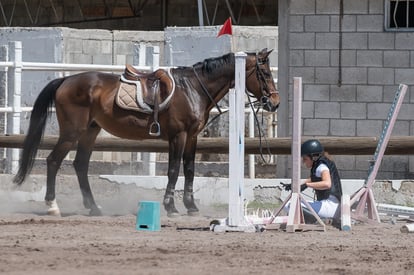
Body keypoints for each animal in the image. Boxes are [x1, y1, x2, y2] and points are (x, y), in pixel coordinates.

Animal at [12, 49, 280, 218]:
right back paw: (53, 206)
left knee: (80, 165)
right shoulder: (178, 136)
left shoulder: (192, 137)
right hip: (72, 132)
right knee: (53, 161)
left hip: (90, 131)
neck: (194, 88)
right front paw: (171, 207)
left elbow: (189, 170)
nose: (274, 103)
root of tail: (66, 80)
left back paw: (94, 207)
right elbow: (173, 170)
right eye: (265, 74)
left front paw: (191, 206)